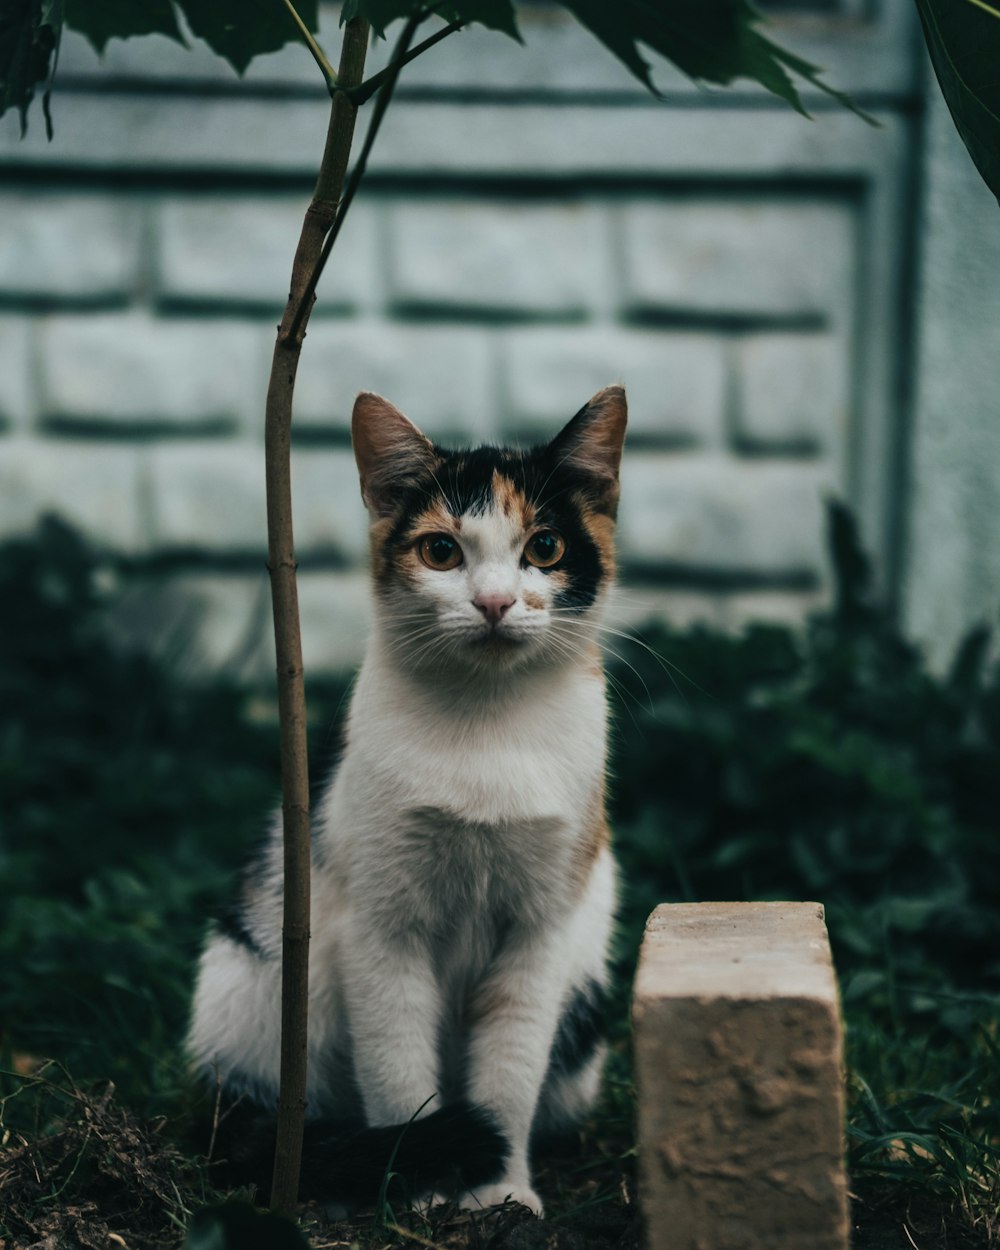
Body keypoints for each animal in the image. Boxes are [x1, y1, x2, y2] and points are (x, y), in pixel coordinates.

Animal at [186, 385, 625, 1215]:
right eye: (441, 551)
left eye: (546, 547)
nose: (494, 602)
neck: (487, 725)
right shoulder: (382, 928)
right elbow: (397, 1069)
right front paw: (416, 1188)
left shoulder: (541, 932)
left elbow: (509, 1074)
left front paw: (501, 1193)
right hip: (251, 971)